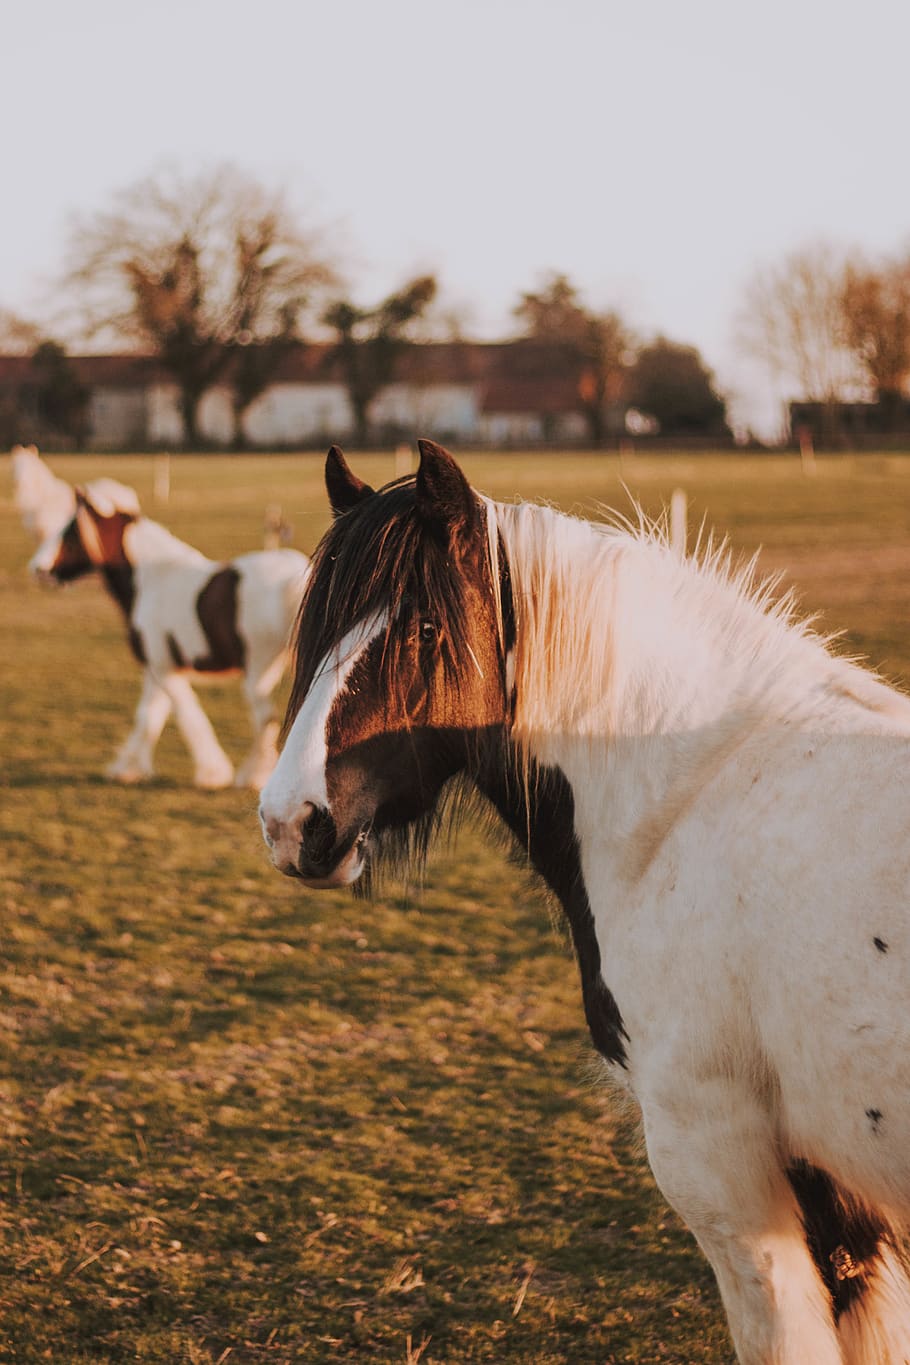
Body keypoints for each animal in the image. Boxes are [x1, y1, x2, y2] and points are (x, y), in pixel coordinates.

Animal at [30, 482, 309, 789]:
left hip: (259, 672)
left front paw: (212, 773)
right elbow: (148, 717)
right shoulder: (157, 668)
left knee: (266, 719)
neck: (153, 579)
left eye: (70, 530)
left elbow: (186, 713)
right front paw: (127, 769)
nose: (38, 568)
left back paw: (252, 777)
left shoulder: (164, 667)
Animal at [260, 439, 910, 1364]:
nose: (290, 821)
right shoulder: (838, 1183)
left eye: (424, 630)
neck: (690, 796)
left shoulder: (719, 1157)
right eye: (314, 633)